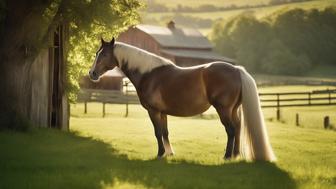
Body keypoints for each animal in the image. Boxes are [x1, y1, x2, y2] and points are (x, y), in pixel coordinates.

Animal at [88, 38, 276, 161]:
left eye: (104, 55)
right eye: (97, 53)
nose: (92, 73)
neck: (149, 74)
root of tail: (236, 70)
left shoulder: (153, 111)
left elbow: (157, 133)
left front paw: (160, 154)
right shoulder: (162, 112)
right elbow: (165, 132)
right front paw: (169, 154)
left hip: (223, 109)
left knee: (230, 130)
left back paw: (227, 156)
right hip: (233, 110)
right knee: (237, 128)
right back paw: (236, 155)